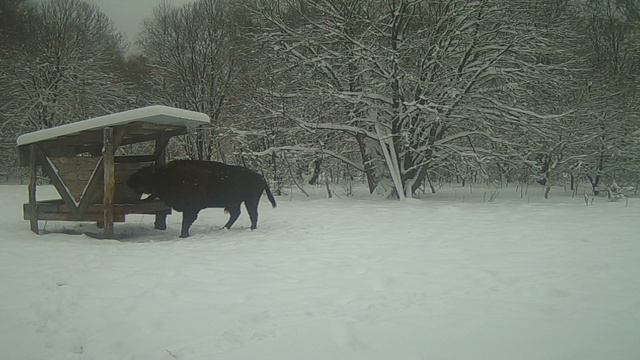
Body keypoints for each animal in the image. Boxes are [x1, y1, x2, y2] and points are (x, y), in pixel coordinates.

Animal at [129, 160, 276, 238]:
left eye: (143, 174)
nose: (129, 180)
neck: (164, 175)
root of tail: (261, 177)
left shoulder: (191, 209)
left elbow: (186, 222)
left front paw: (183, 235)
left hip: (250, 201)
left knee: (253, 214)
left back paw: (251, 229)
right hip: (237, 203)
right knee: (236, 214)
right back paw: (223, 228)